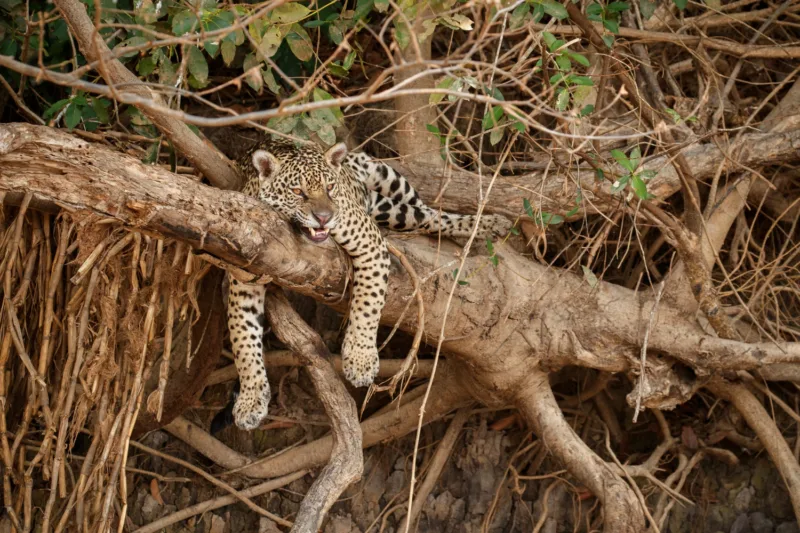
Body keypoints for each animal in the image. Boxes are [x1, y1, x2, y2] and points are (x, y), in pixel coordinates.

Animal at [228, 139, 512, 430]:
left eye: (330, 188)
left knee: (431, 213)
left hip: (389, 181)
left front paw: (360, 360)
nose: (324, 217)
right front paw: (250, 400)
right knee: (425, 216)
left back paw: (491, 224)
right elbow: (242, 338)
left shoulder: (369, 242)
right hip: (392, 209)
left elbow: (368, 303)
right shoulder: (243, 275)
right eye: (297, 191)